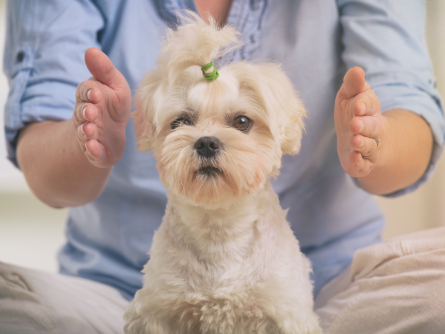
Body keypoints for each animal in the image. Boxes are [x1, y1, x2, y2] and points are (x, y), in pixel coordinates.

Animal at [123, 11, 320, 334]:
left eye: (242, 122)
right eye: (180, 122)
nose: (206, 142)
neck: (219, 230)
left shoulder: (285, 312)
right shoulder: (157, 310)